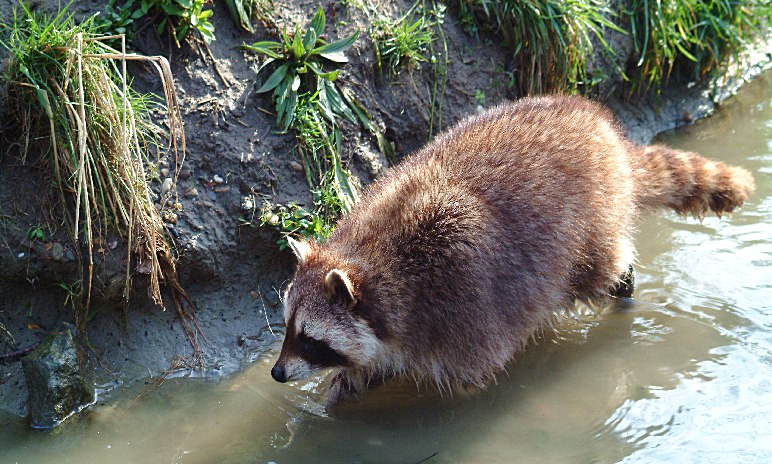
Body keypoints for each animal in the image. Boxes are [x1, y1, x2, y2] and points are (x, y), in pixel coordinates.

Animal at [270, 95, 752, 406]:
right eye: (287, 326)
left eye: (310, 339)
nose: (276, 373)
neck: (373, 260)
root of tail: (598, 125)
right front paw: (344, 389)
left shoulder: (460, 305)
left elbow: (470, 376)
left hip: (589, 223)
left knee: (602, 272)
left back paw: (623, 285)